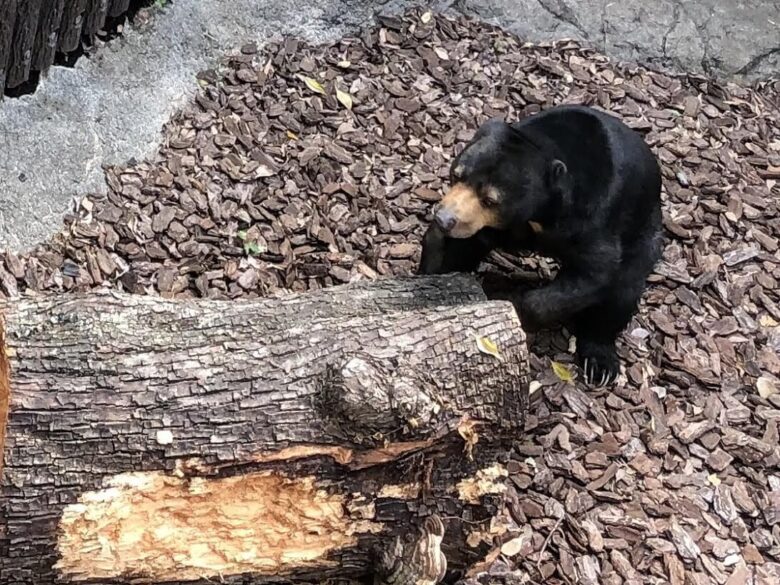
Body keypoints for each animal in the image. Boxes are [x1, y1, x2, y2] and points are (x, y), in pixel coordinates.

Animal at [420, 104, 664, 388]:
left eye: (491, 200)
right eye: (456, 174)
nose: (444, 218)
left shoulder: (596, 218)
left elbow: (594, 273)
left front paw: (516, 308)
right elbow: (460, 247)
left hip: (645, 234)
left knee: (623, 290)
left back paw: (600, 364)